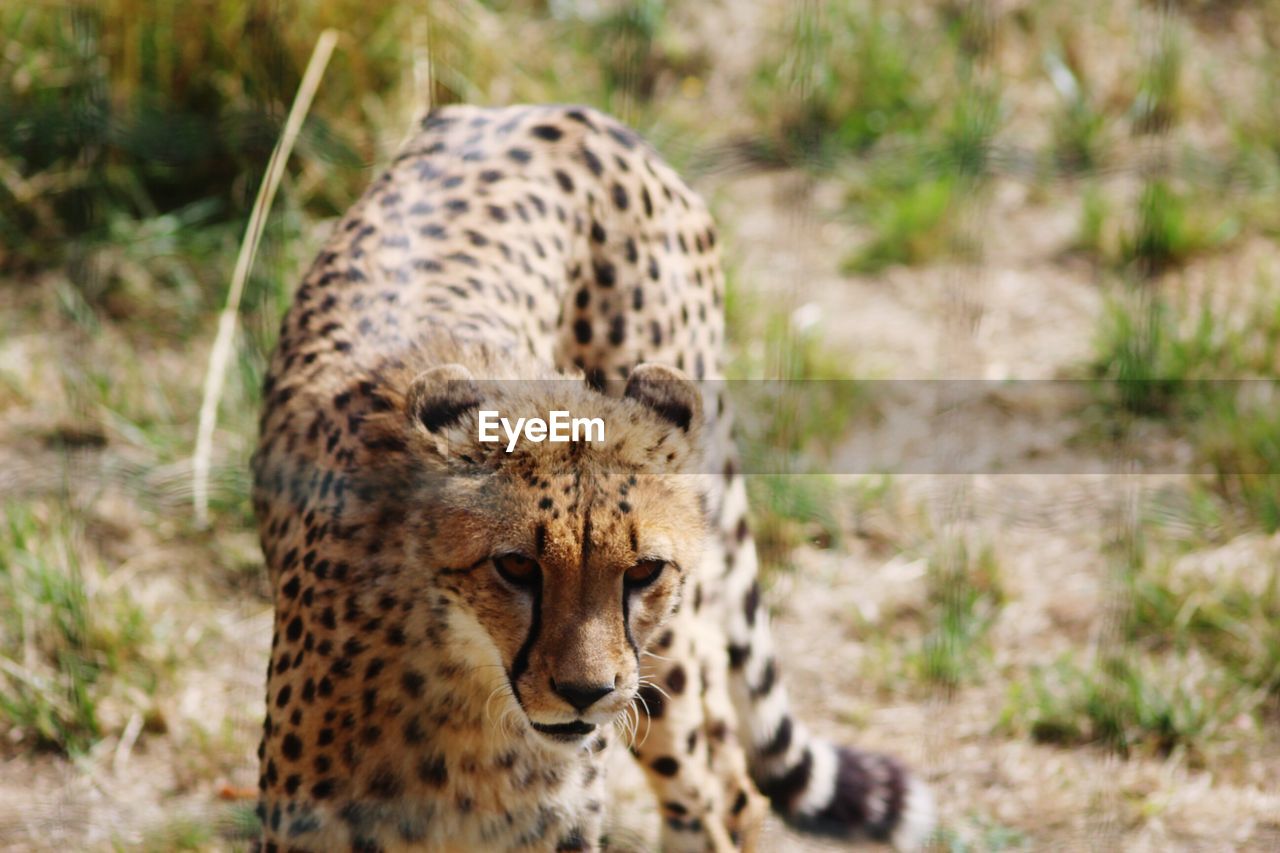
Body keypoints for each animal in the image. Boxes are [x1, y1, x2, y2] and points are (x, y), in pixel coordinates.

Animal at [252, 103, 931, 845]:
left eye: (643, 571)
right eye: (516, 566)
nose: (585, 692)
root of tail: (561, 112)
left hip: (668, 664)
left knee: (720, 793)